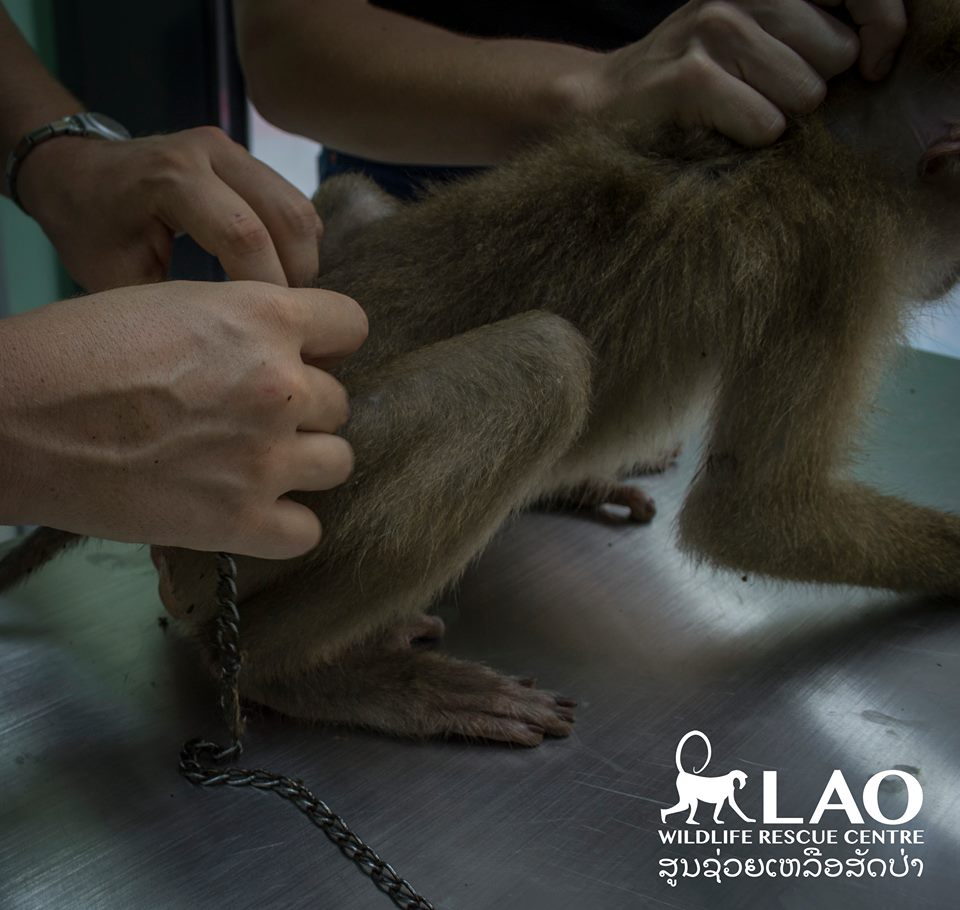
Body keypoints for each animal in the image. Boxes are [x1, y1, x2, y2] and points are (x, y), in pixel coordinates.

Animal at [2, 0, 959, 747]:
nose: (948, 276)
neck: (838, 126)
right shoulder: (843, 253)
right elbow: (752, 512)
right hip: (237, 508)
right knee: (540, 367)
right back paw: (295, 675)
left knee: (358, 200)